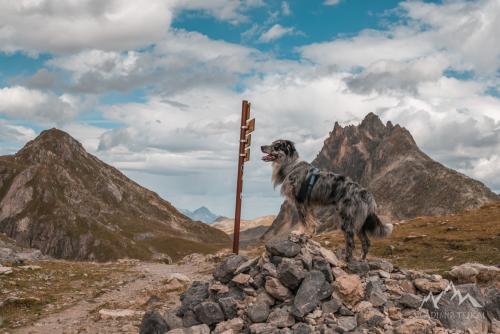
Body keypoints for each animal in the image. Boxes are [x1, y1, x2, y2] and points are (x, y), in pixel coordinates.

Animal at [260, 138, 392, 260]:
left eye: (276, 146)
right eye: (272, 143)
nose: (261, 146)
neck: (291, 166)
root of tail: (365, 193)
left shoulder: (300, 201)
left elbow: (303, 220)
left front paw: (300, 232)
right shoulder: (309, 205)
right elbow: (311, 221)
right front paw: (309, 234)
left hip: (346, 219)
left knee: (351, 242)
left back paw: (346, 260)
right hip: (358, 222)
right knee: (366, 242)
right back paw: (361, 259)